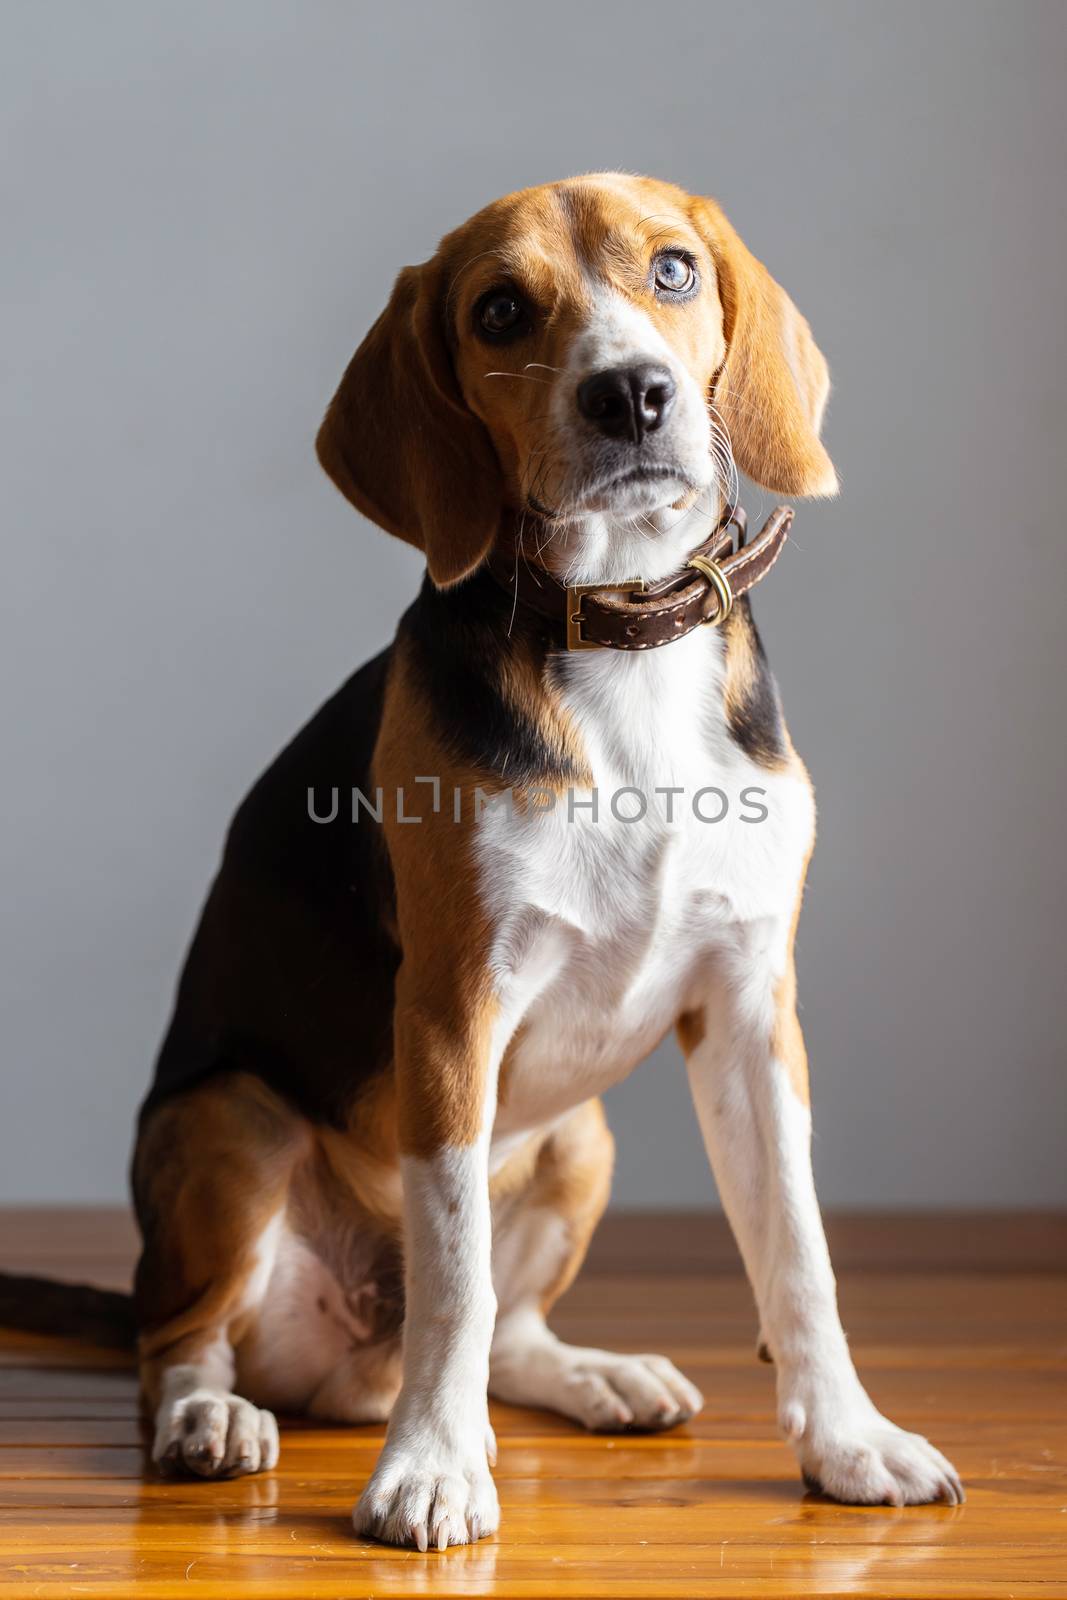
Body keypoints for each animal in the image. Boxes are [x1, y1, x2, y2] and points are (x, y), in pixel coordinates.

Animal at [129, 172, 966, 1536]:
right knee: (185, 1340)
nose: (629, 393)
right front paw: (430, 1468)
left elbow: (798, 1255)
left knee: (509, 1332)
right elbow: (453, 1271)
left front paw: (847, 1440)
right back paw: (218, 1417)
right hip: (226, 1127)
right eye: (498, 312)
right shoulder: (448, 1014)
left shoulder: (751, 1010)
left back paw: (590, 1375)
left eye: (672, 269)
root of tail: (350, 1366)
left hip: (583, 1136)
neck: (622, 636)